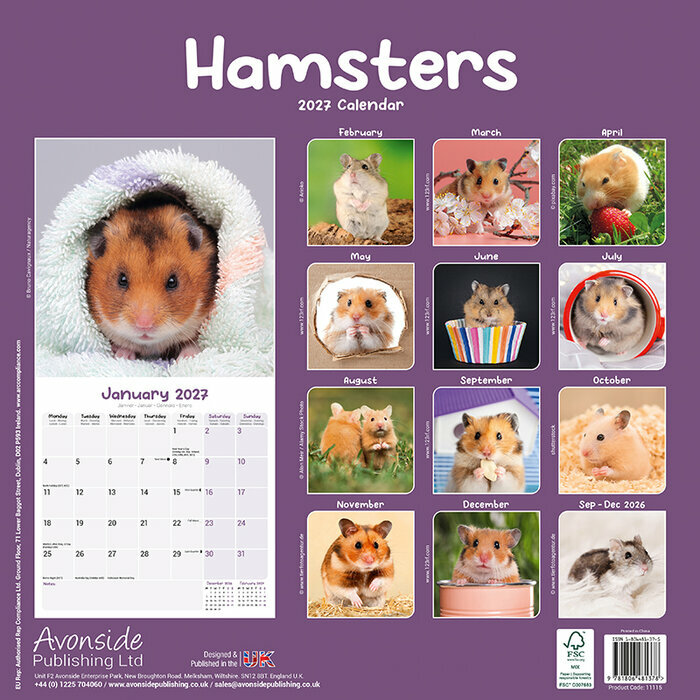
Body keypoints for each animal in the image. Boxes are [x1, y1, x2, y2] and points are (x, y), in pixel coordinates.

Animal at [86, 191, 217, 360]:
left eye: (173, 281)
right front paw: (122, 355)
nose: (144, 325)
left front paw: (186, 357)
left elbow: (193, 342)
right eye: (122, 280)